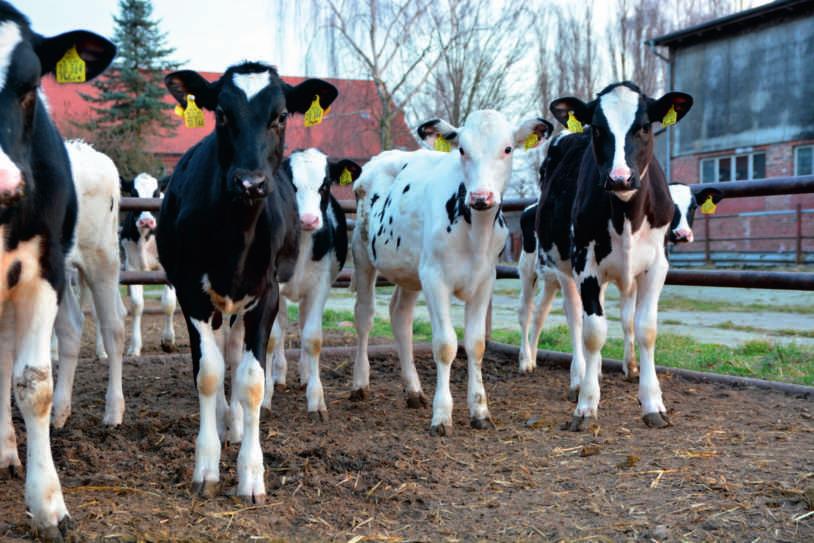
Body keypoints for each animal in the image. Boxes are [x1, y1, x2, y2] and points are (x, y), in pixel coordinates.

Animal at [119, 172, 177, 354]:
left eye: (156, 193)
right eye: (133, 193)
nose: (146, 221)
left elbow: (168, 303)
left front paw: (168, 340)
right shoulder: (132, 268)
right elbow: (137, 305)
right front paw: (134, 347)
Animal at [156, 62, 338, 502]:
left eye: (281, 116)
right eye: (222, 113)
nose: (250, 183)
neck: (236, 235)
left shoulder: (267, 294)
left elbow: (252, 381)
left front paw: (251, 473)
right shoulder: (191, 294)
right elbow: (207, 373)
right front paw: (206, 466)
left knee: (236, 357)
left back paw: (236, 423)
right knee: (222, 359)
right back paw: (226, 420)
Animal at [268, 150, 360, 420]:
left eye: (325, 184)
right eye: (291, 185)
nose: (309, 219)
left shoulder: (320, 286)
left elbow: (312, 338)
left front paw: (316, 400)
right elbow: (272, 337)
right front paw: (264, 397)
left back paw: (304, 373)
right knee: (282, 327)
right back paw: (279, 374)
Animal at [540, 82, 696, 430]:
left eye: (644, 127)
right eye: (598, 128)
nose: (619, 178)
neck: (627, 214)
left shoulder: (656, 266)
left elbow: (645, 328)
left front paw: (652, 402)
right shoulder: (586, 265)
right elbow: (594, 333)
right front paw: (586, 405)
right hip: (564, 268)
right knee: (576, 319)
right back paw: (580, 378)